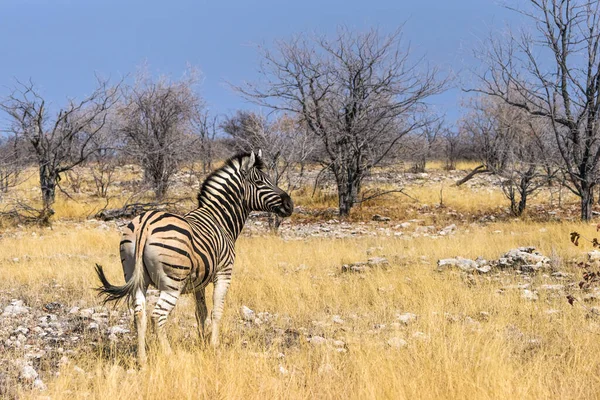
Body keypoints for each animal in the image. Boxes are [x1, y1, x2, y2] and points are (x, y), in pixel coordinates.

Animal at [94, 152, 292, 364]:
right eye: (259, 181)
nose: (290, 204)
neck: (220, 219)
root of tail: (145, 224)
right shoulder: (224, 273)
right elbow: (217, 311)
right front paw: (213, 346)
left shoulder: (199, 282)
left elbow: (201, 312)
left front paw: (202, 342)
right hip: (172, 282)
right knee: (158, 316)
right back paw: (169, 355)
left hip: (135, 277)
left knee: (139, 314)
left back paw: (142, 359)